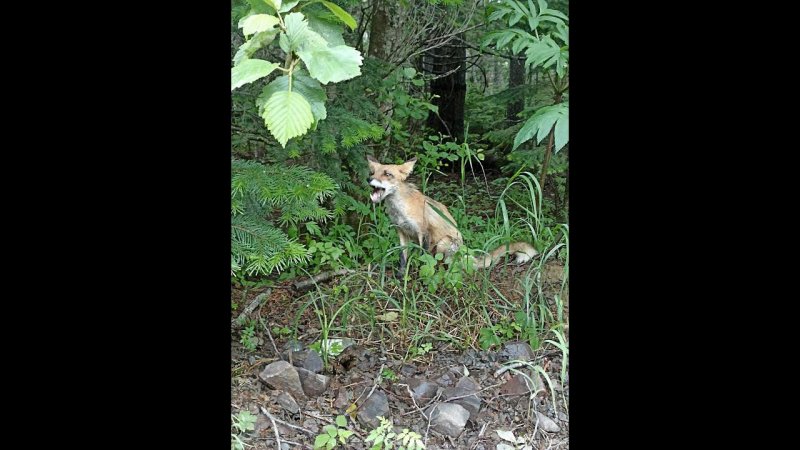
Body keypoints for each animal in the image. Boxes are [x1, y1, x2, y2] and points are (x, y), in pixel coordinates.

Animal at [368, 155, 536, 274]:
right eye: (373, 173)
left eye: (387, 174)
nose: (369, 179)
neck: (399, 210)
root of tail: (464, 251)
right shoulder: (402, 232)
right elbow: (403, 258)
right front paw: (401, 275)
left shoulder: (424, 232)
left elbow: (424, 258)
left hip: (444, 242)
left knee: (445, 262)